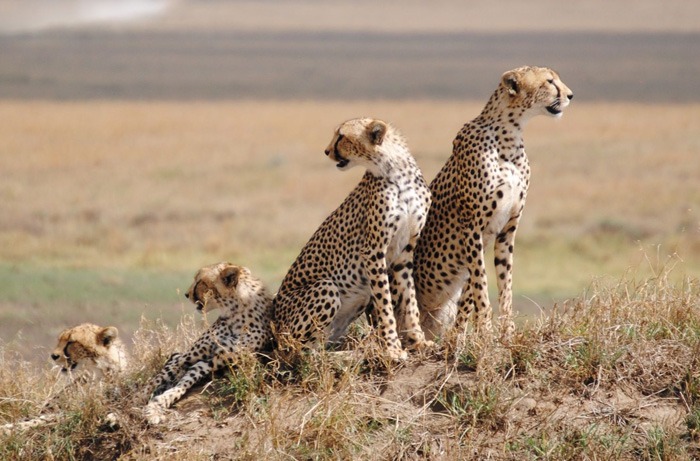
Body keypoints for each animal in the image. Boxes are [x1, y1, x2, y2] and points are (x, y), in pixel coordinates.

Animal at [144, 262, 272, 424]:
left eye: (199, 281)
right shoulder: (193, 355)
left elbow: (185, 381)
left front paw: (161, 402)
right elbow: (155, 380)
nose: (186, 294)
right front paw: (138, 401)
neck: (235, 311)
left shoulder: (216, 360)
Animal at [274, 117, 432, 362]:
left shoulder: (405, 252)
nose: (326, 151)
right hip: (326, 287)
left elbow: (410, 299)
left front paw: (418, 341)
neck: (396, 171)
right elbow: (385, 305)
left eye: (341, 136)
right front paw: (393, 348)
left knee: (316, 348)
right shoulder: (373, 251)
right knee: (299, 353)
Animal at [412, 64, 572, 340]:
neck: (510, 134)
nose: (571, 95)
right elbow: (481, 285)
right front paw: (486, 330)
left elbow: (499, 286)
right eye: (550, 82)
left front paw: (502, 332)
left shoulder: (507, 230)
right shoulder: (472, 227)